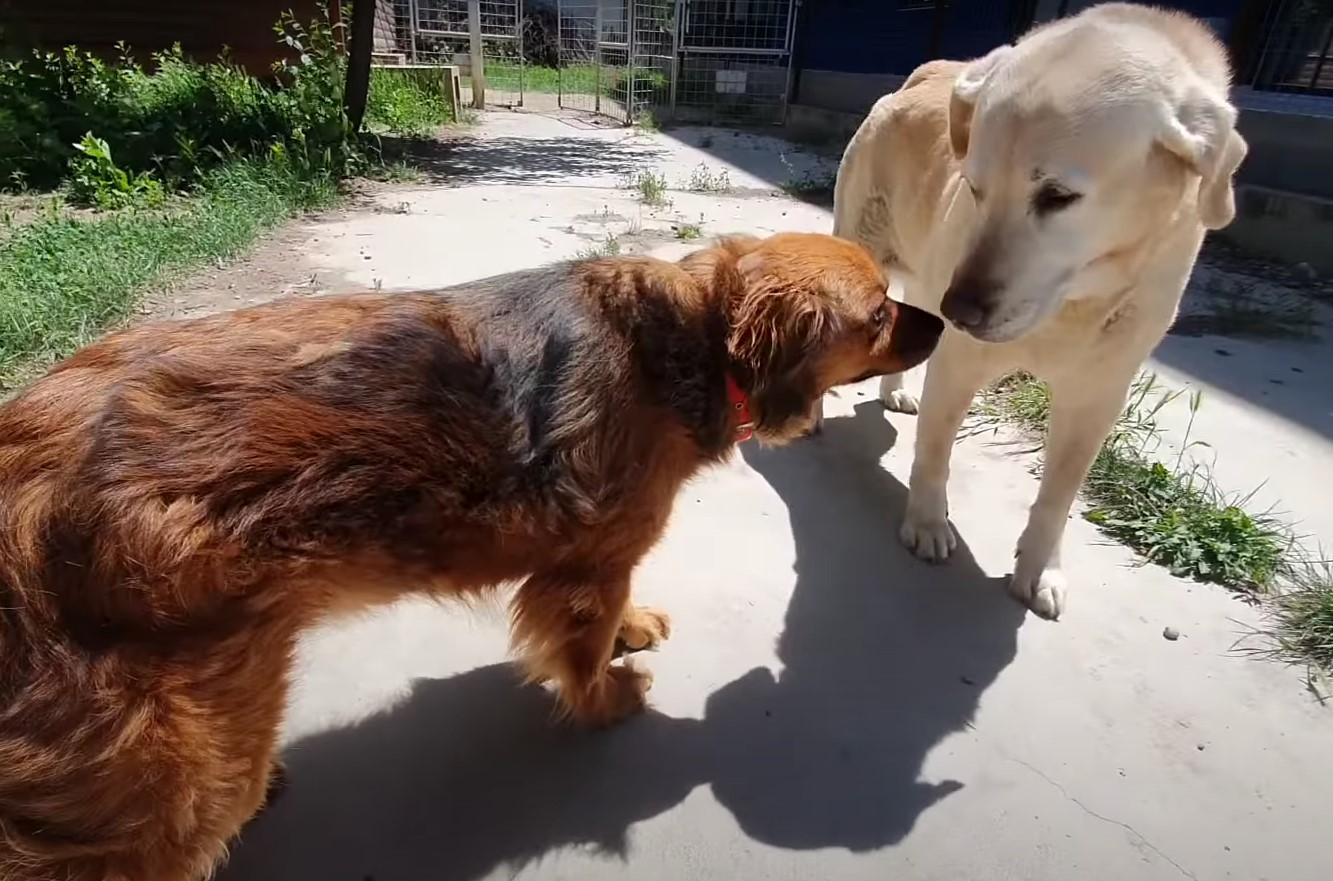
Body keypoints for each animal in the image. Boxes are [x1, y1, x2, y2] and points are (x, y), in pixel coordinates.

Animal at [0, 230, 938, 874]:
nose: (940, 321)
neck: (691, 340)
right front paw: (607, 700)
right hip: (184, 766)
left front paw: (632, 628)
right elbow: (582, 652)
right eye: (879, 314)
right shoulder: (588, 564)